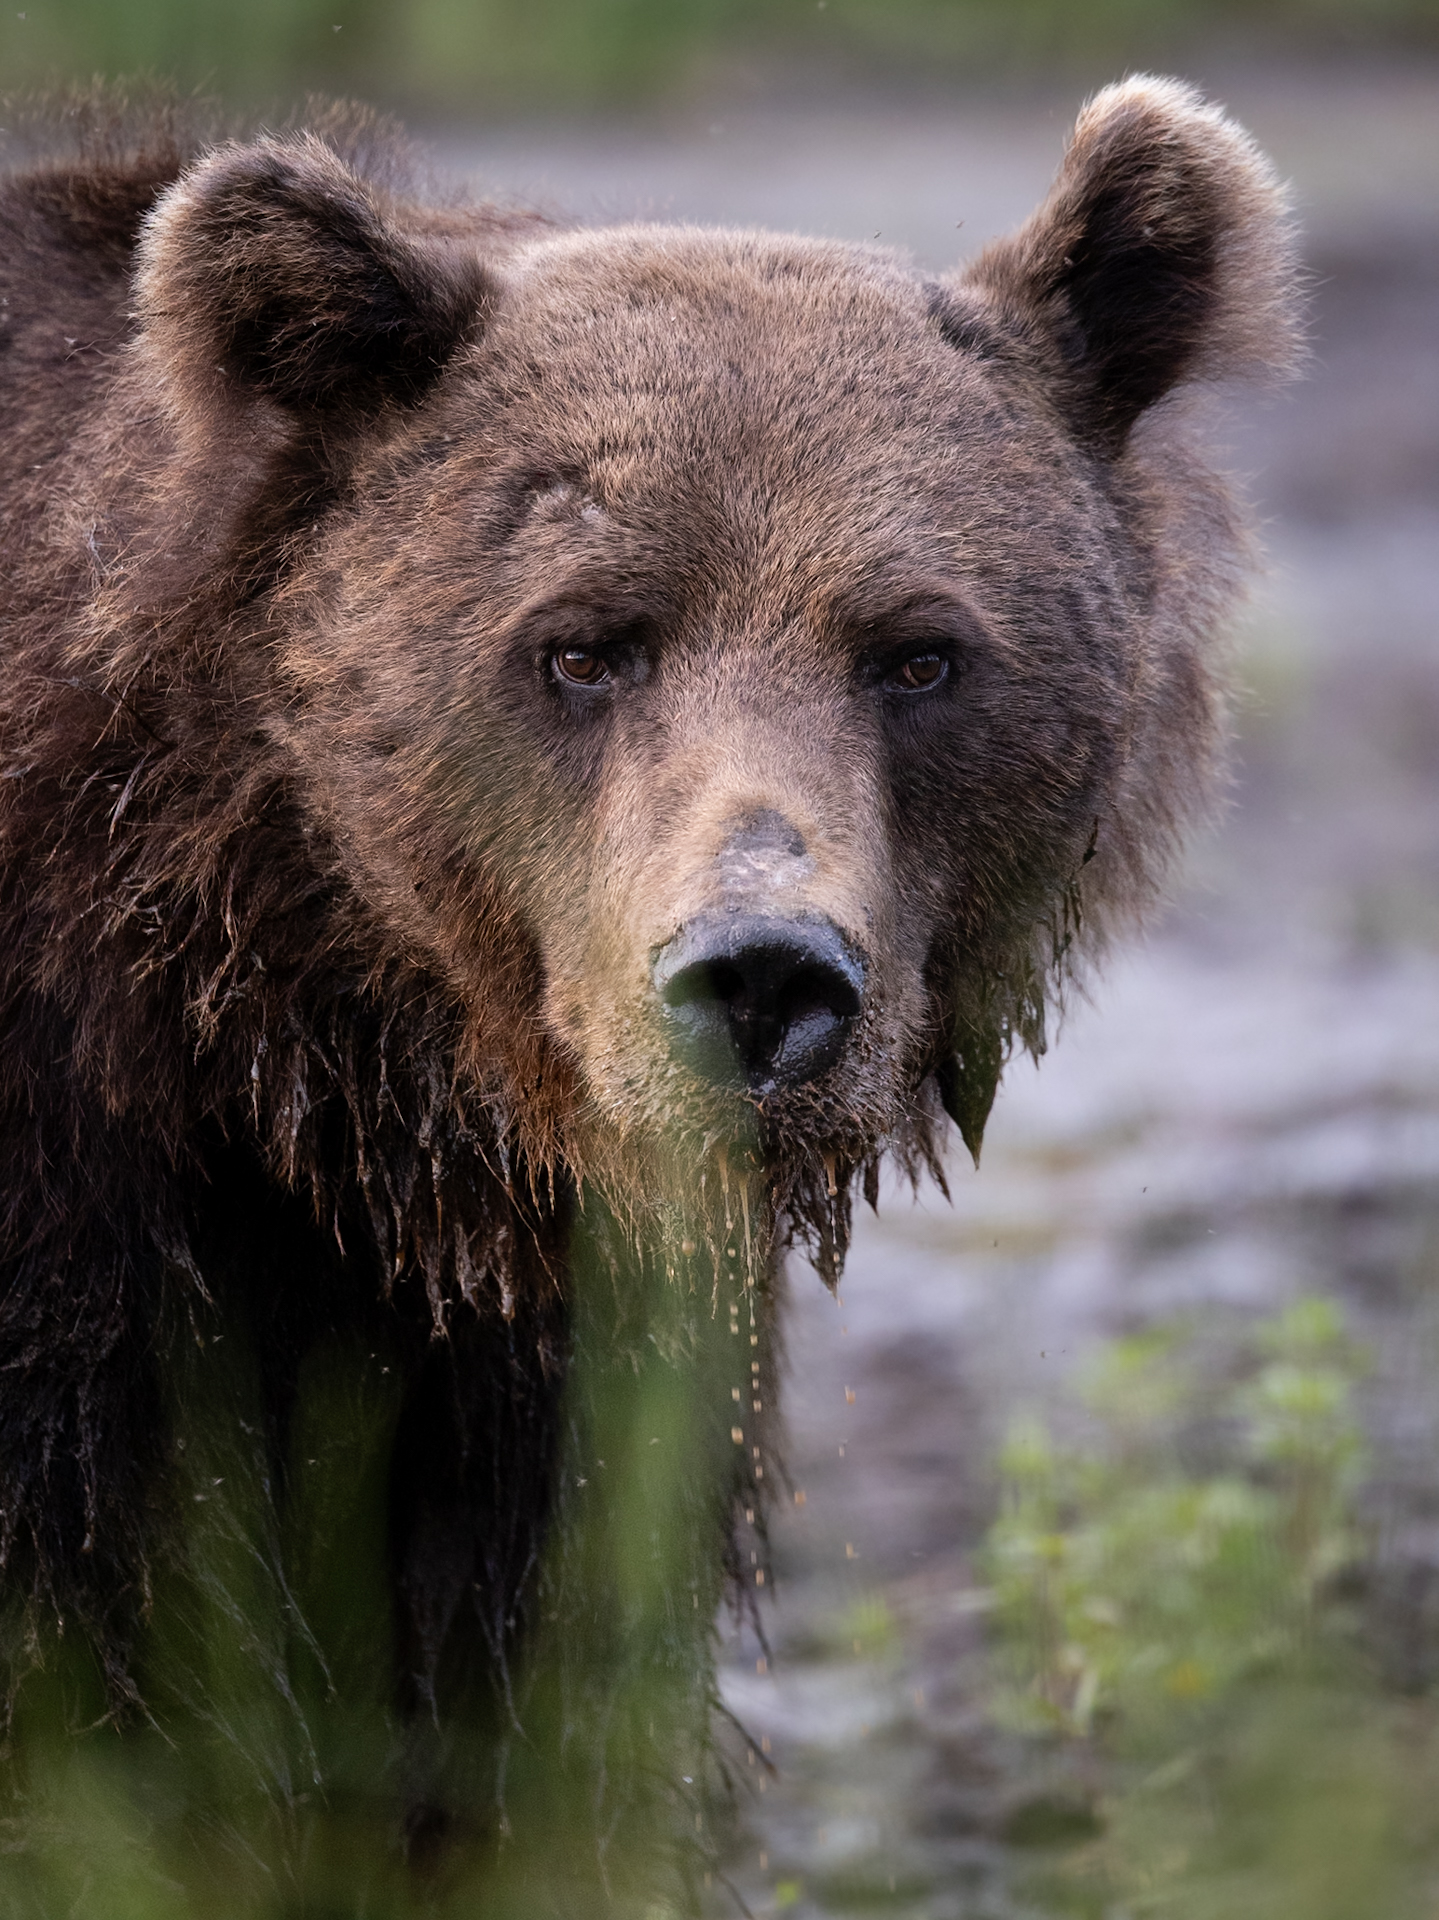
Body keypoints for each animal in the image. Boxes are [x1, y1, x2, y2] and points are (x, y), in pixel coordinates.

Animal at [0, 77, 1298, 1901]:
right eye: (581, 643)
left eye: (917, 653)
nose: (759, 979)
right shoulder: (88, 1262)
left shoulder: (522, 1359)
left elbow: (504, 1688)